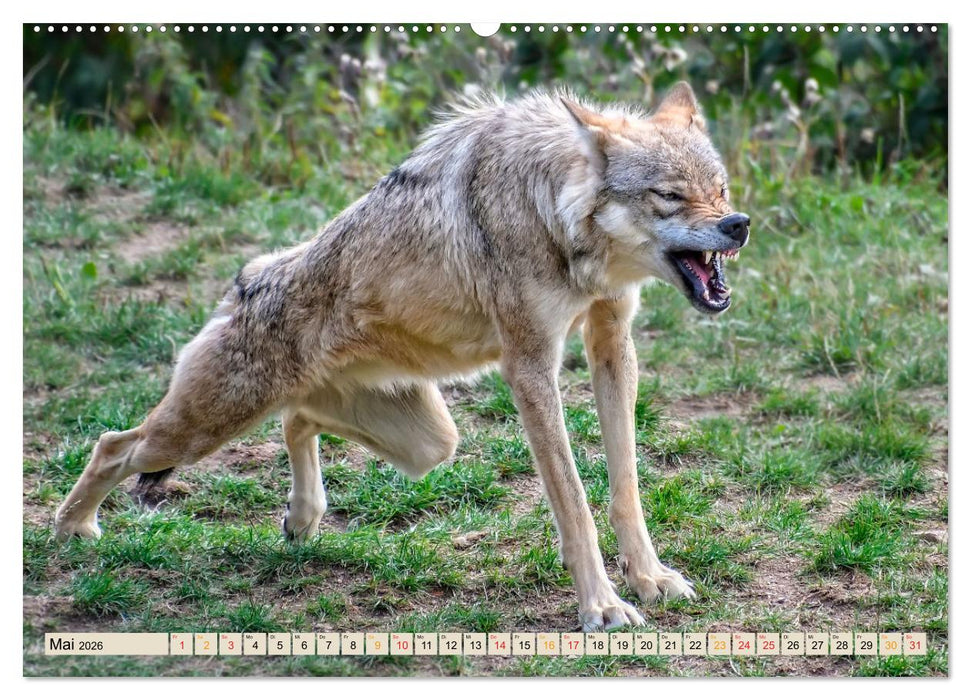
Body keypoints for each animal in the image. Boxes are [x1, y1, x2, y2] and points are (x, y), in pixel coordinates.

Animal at [54, 82, 749, 631]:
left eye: (719, 189)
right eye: (669, 196)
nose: (737, 224)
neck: (552, 210)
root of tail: (246, 279)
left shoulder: (611, 341)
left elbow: (625, 485)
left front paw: (650, 579)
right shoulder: (529, 366)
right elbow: (575, 500)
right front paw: (602, 607)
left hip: (429, 443)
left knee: (297, 419)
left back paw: (302, 519)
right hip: (201, 429)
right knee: (114, 444)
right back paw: (71, 532)